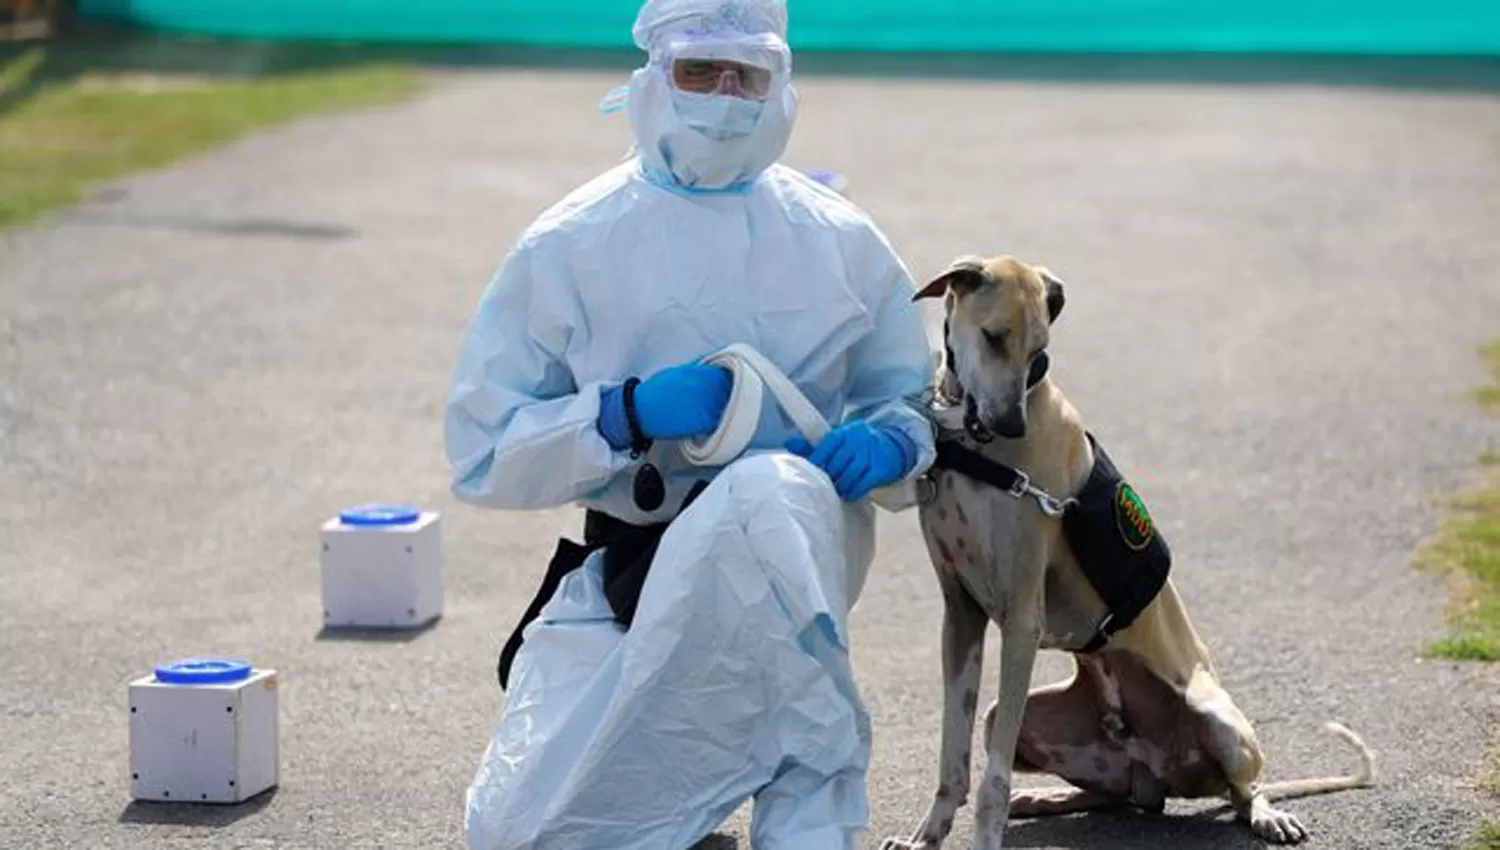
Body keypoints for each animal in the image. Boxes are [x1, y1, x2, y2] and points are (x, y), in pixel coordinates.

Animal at [882, 256, 1374, 850]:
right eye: (995, 337)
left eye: (1040, 351)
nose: (1009, 424)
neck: (978, 449)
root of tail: (1156, 767)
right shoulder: (961, 616)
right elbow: (951, 759)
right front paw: (925, 837)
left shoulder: (1021, 621)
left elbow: (990, 781)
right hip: (1032, 724)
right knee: (1120, 794)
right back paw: (1044, 797)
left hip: (1215, 719)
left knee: (1244, 788)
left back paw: (1265, 813)